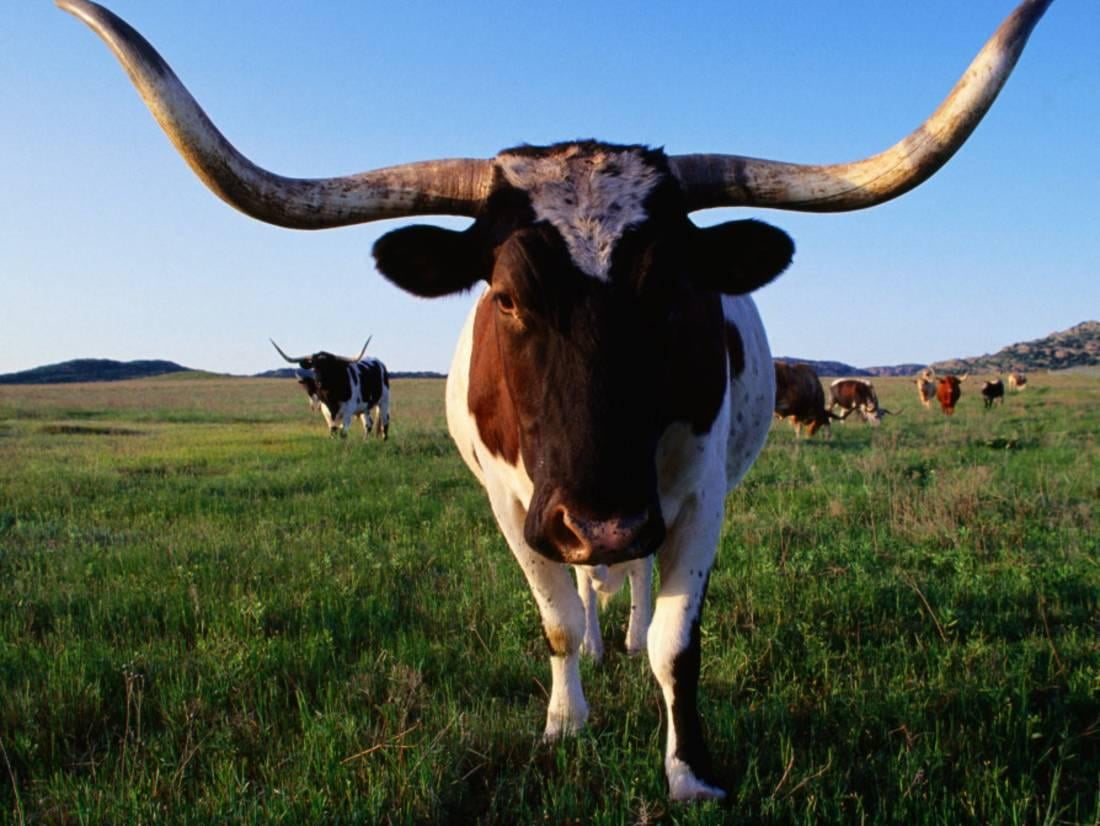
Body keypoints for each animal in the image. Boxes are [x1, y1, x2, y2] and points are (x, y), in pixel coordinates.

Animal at [58, 0, 1054, 802]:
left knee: (636, 590)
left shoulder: (695, 497)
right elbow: (557, 622)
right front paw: (566, 723)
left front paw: (689, 770)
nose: (600, 522)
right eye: (505, 296)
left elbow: (676, 641)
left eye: (672, 289)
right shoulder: (515, 505)